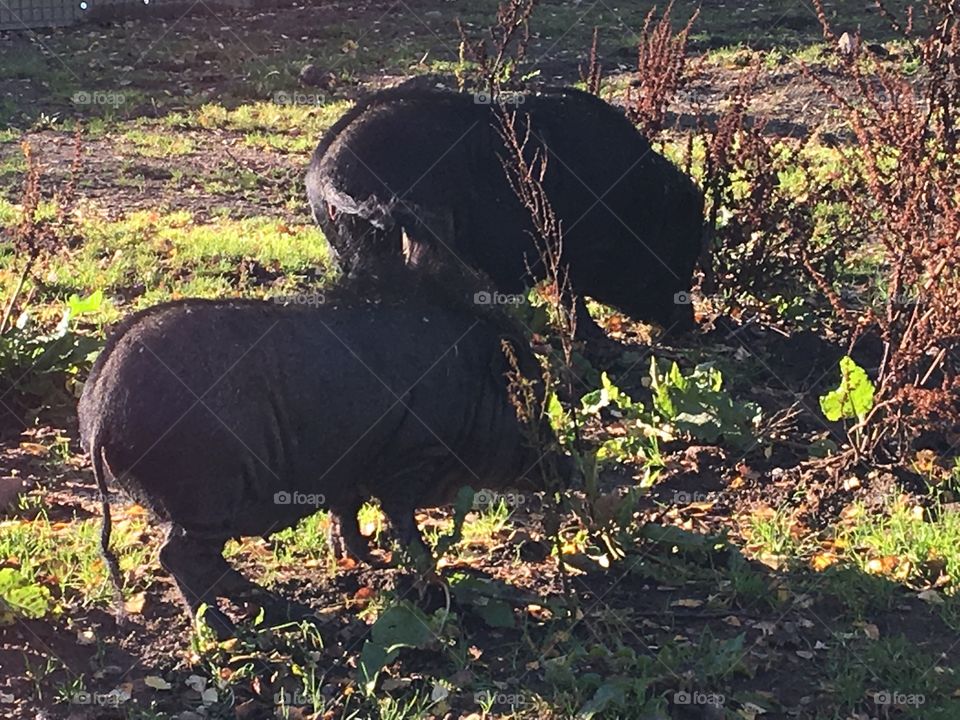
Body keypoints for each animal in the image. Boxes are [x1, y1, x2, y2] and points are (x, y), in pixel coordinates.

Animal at [78, 276, 565, 632]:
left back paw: (275, 610)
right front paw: (430, 581)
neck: (472, 387)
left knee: (195, 560)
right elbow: (404, 526)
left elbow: (346, 513)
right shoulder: (409, 460)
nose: (567, 470)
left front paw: (364, 560)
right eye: (532, 404)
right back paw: (231, 628)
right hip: (206, 493)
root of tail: (99, 412)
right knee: (178, 557)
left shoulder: (352, 472)